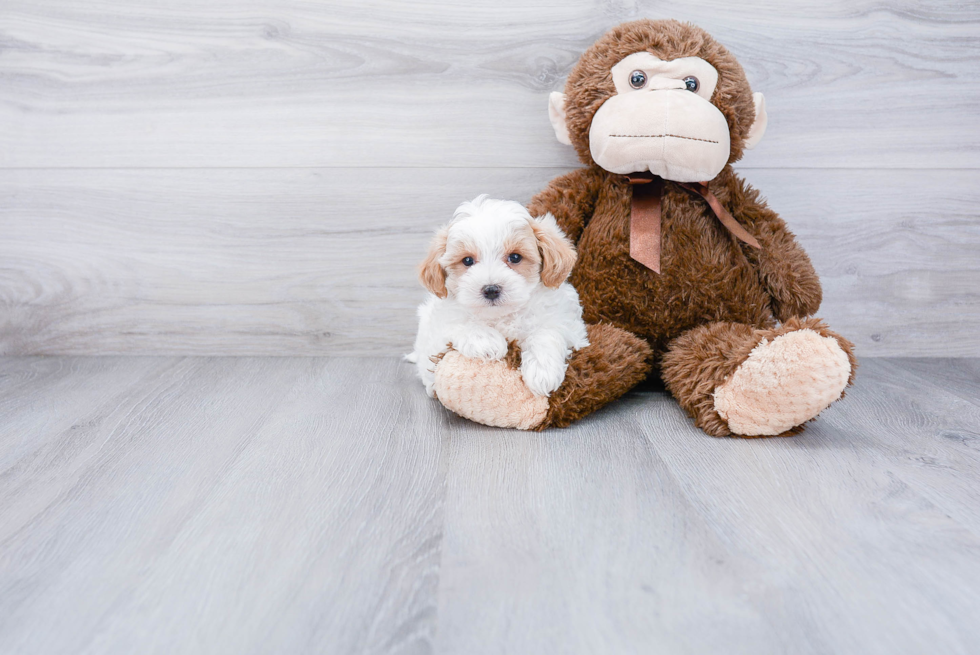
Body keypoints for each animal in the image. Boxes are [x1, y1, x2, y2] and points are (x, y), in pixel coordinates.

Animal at [408, 195, 584, 400]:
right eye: (467, 260)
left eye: (515, 257)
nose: (491, 289)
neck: (501, 316)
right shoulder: (437, 329)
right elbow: (457, 325)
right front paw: (487, 341)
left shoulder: (568, 323)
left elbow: (547, 332)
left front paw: (542, 371)